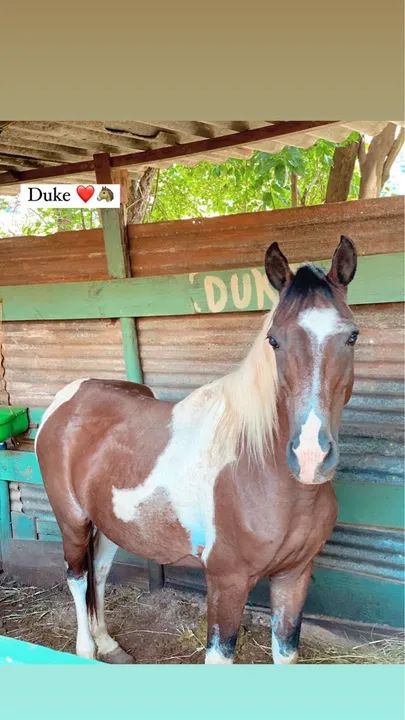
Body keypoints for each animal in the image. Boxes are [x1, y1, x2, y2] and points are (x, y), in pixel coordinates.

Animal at [35, 235, 359, 664]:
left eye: (351, 336)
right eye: (274, 340)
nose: (310, 457)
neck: (262, 474)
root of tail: (70, 395)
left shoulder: (294, 576)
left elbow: (285, 652)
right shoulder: (226, 581)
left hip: (108, 522)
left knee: (100, 573)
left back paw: (109, 644)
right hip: (72, 519)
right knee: (77, 576)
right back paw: (87, 650)